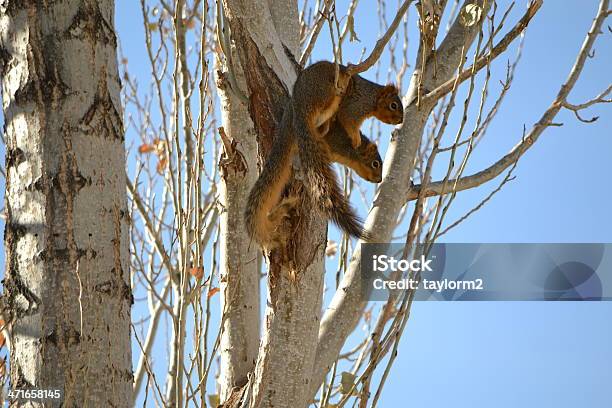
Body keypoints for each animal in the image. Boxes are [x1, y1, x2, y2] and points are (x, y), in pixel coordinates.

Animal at [244, 61, 402, 249]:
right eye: (393, 105)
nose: (379, 179)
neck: (372, 97)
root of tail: (297, 108)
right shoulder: (355, 107)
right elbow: (348, 121)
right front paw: (356, 139)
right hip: (323, 91)